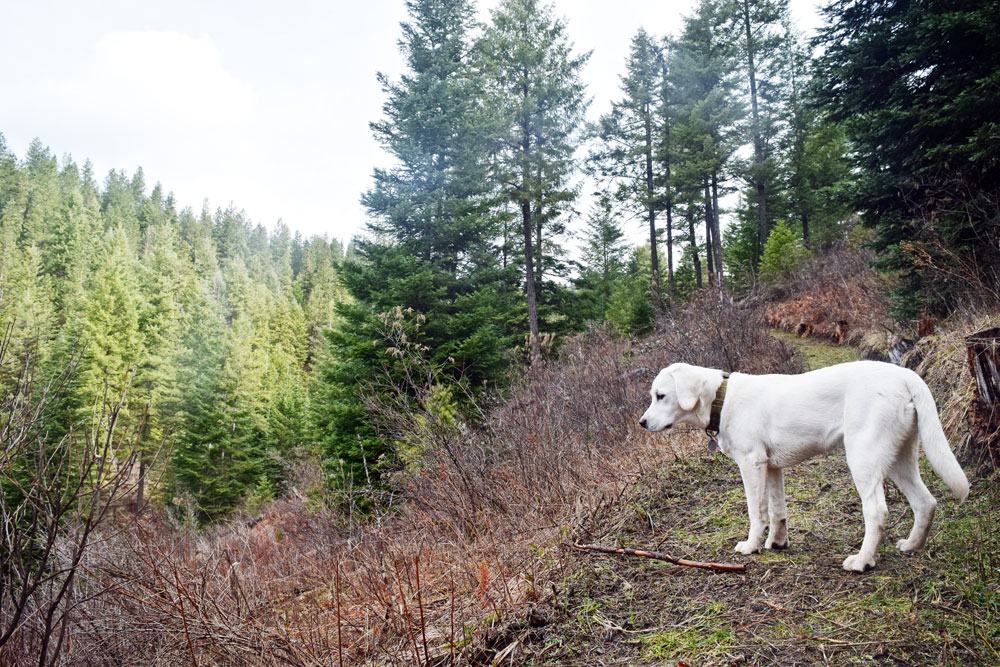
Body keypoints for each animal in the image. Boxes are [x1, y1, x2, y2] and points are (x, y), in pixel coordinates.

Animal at [640, 362, 968, 572]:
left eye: (660, 396)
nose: (642, 422)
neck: (722, 399)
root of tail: (903, 374)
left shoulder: (751, 464)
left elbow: (756, 513)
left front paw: (752, 545)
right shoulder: (772, 467)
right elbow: (777, 511)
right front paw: (777, 542)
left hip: (863, 457)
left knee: (877, 512)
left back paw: (862, 561)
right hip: (900, 459)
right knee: (926, 502)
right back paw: (912, 546)